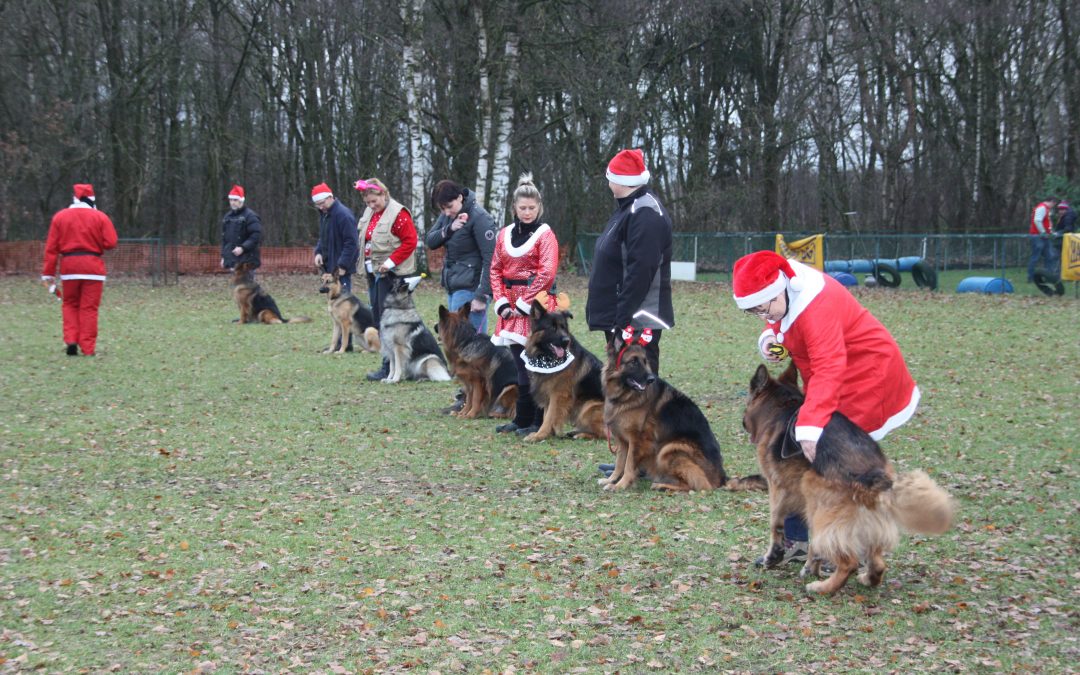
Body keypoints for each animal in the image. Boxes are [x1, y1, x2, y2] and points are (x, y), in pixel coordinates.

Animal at [520, 300, 609, 442]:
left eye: (563, 327)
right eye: (552, 328)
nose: (566, 341)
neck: (547, 358)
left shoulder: (558, 395)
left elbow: (549, 417)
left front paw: (540, 435)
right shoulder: (548, 393)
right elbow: (546, 415)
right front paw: (546, 434)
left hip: (588, 407)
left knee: (605, 434)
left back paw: (581, 435)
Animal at [600, 328, 768, 492]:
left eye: (645, 361)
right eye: (633, 362)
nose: (651, 379)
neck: (625, 396)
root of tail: (722, 477)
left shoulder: (637, 440)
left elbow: (628, 465)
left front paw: (621, 485)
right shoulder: (623, 441)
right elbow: (620, 463)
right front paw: (612, 480)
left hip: (669, 449)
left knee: (699, 486)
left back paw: (662, 485)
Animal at [743, 365, 954, 591]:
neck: (781, 407)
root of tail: (872, 474)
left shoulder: (779, 487)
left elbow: (776, 524)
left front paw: (773, 557)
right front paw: (810, 564)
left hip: (817, 499)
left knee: (849, 562)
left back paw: (823, 588)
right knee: (878, 563)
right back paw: (867, 578)